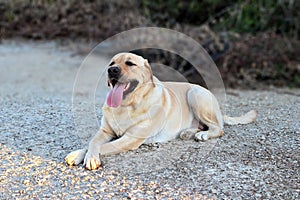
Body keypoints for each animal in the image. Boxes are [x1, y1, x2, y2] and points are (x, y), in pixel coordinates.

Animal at [64, 52, 256, 170]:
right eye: (112, 63)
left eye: (130, 63)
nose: (111, 70)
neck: (127, 105)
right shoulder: (104, 131)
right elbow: (92, 142)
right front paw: (78, 154)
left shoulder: (130, 139)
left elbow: (103, 146)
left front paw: (90, 158)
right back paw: (188, 132)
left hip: (195, 94)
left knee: (218, 128)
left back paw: (203, 135)